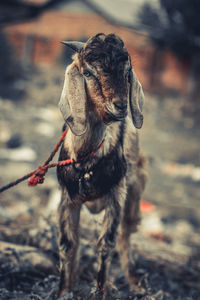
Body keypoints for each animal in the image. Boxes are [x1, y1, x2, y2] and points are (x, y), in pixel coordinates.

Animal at [56, 32, 147, 298]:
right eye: (87, 73)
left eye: (127, 72)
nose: (120, 106)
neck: (86, 158)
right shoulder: (67, 198)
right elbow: (68, 243)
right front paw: (63, 290)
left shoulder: (117, 196)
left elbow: (106, 244)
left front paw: (100, 292)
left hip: (135, 190)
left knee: (126, 234)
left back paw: (135, 283)